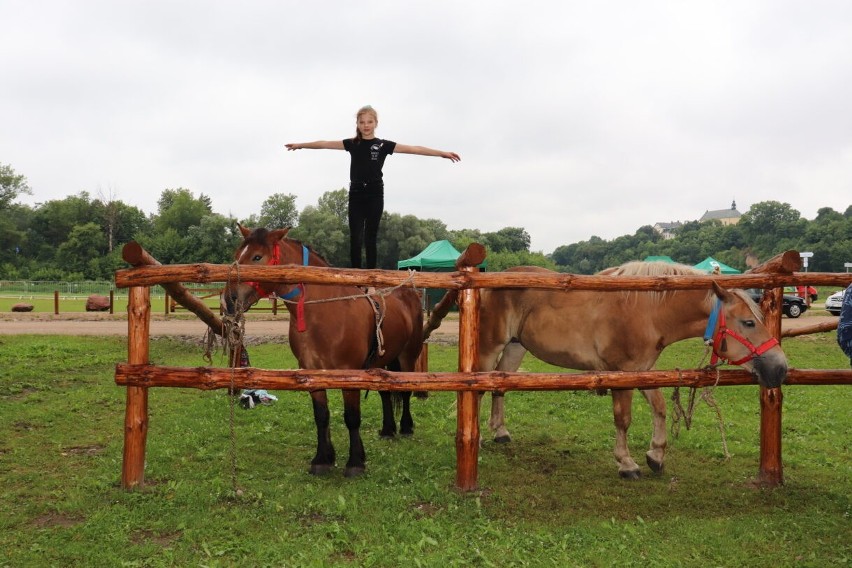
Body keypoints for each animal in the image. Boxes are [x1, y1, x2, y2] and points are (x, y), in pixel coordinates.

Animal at [221, 224, 424, 478]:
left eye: (257, 257)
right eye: (236, 255)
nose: (229, 300)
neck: (326, 312)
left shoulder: (350, 374)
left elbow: (352, 418)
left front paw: (355, 462)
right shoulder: (312, 373)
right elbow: (321, 416)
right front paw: (323, 459)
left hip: (407, 356)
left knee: (404, 392)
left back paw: (405, 427)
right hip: (378, 364)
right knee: (385, 393)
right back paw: (388, 429)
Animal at [476, 262, 788, 480]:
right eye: (749, 322)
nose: (780, 368)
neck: (647, 311)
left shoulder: (643, 370)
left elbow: (660, 406)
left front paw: (656, 455)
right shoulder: (622, 373)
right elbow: (623, 419)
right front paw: (627, 464)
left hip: (516, 347)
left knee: (500, 382)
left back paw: (500, 431)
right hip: (489, 347)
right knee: (478, 387)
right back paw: (477, 438)